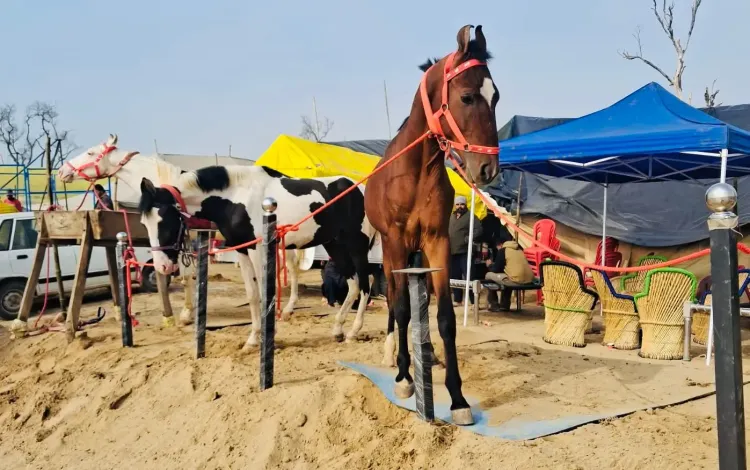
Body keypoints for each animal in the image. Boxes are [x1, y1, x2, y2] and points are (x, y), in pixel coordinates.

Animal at [57, 135, 197, 326]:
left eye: (90, 152)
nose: (61, 171)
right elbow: (185, 275)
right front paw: (187, 312)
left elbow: (188, 275)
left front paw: (186, 313)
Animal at [136, 163, 378, 349]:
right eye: (144, 223)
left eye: (165, 221)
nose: (162, 267)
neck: (235, 198)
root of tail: (362, 188)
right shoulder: (242, 250)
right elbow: (253, 295)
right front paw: (253, 339)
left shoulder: (258, 249)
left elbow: (264, 293)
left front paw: (269, 336)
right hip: (334, 245)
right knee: (354, 284)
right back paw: (338, 330)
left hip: (357, 246)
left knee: (366, 283)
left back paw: (353, 332)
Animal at [363, 24, 500, 426]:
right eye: (467, 96)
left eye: (496, 97)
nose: (488, 169)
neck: (416, 171)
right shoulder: (395, 241)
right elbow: (402, 309)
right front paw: (405, 377)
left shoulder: (437, 242)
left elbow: (445, 318)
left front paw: (457, 398)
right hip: (392, 254)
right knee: (394, 301)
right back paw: (394, 355)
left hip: (418, 254)